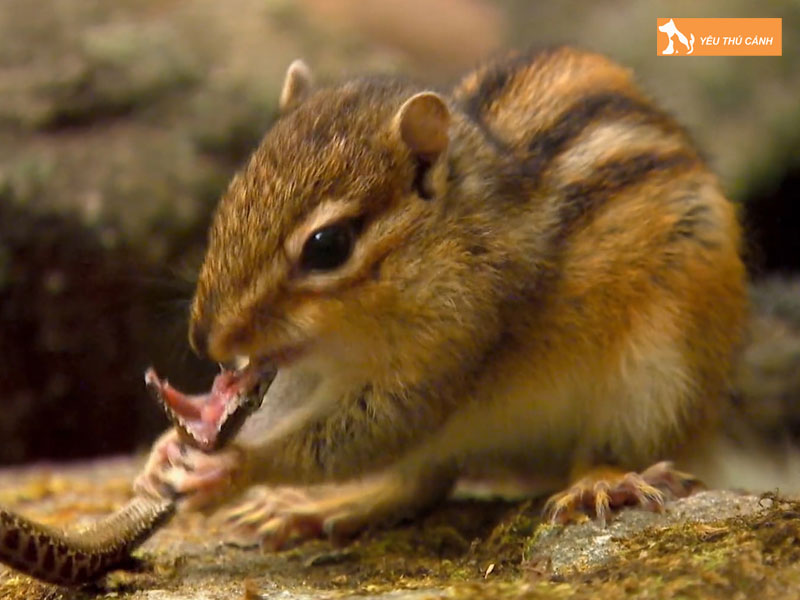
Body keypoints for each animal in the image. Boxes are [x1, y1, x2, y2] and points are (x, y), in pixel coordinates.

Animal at [135, 47, 747, 548]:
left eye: (328, 246)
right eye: (229, 200)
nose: (205, 339)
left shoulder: (454, 345)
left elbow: (371, 430)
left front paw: (230, 467)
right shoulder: (309, 372)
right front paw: (164, 450)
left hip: (658, 383)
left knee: (611, 449)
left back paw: (603, 483)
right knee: (420, 483)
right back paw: (324, 506)